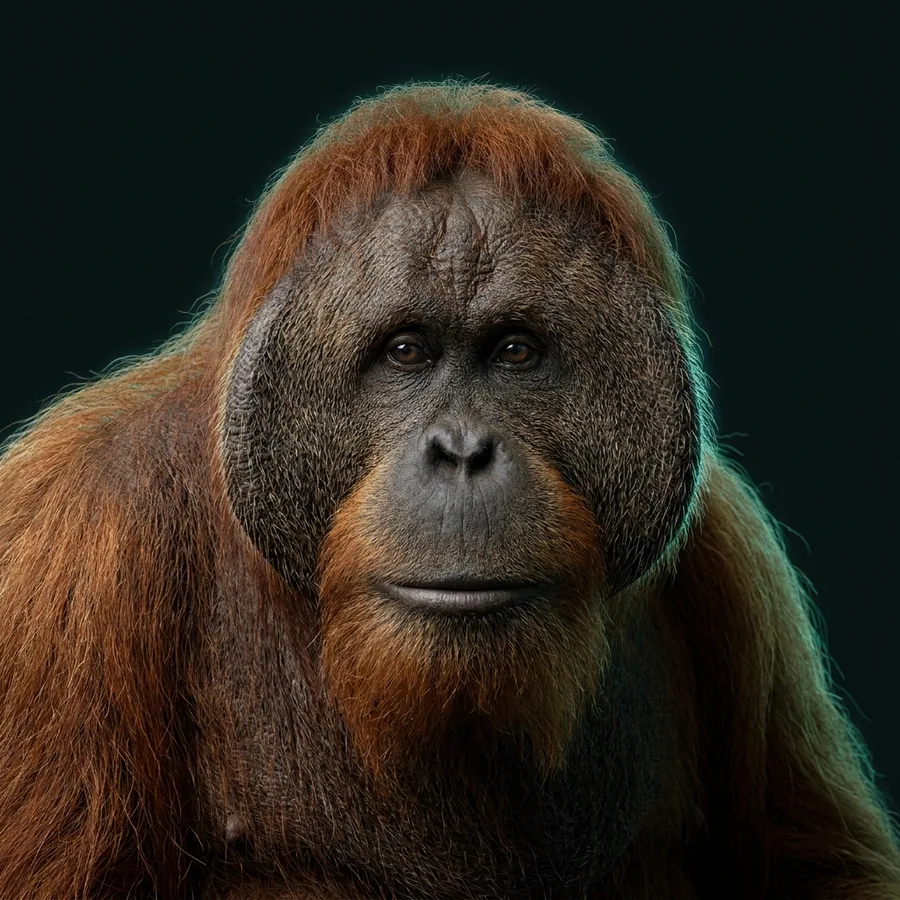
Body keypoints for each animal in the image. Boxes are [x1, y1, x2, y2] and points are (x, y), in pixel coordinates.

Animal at [0, 81, 898, 899]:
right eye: (407, 351)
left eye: (514, 351)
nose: (463, 451)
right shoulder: (67, 558)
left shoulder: (735, 560)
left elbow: (819, 865)